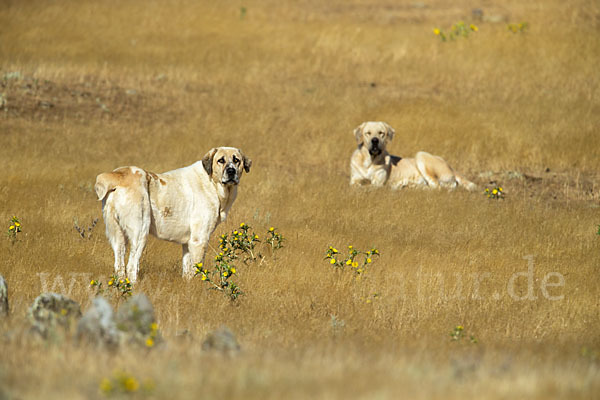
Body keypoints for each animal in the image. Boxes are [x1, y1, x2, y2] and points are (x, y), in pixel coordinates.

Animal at [93, 147, 251, 282]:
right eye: (221, 160)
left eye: (236, 160)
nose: (231, 171)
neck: (211, 182)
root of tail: (118, 174)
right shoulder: (199, 240)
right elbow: (197, 271)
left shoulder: (188, 243)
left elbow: (187, 272)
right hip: (140, 232)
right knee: (131, 266)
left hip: (118, 237)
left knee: (119, 266)